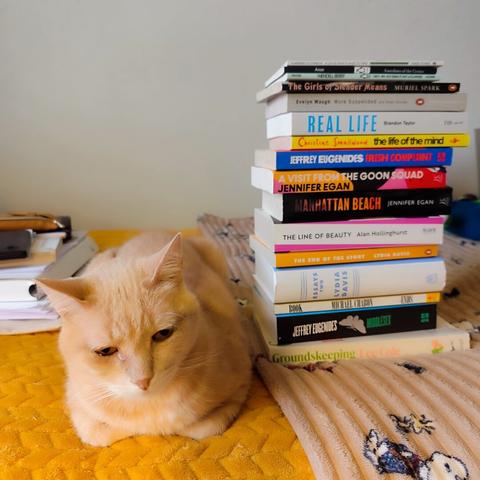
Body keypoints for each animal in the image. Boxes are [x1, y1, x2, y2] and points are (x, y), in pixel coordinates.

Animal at [37, 232, 252, 447]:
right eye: (105, 351)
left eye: (163, 334)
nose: (143, 381)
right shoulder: (78, 404)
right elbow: (102, 432)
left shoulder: (242, 381)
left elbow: (204, 427)